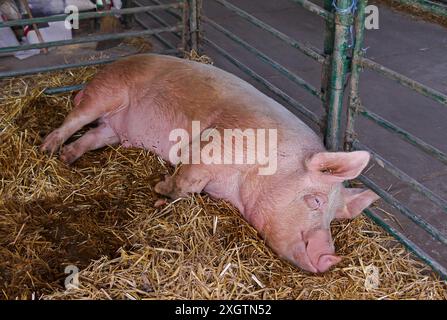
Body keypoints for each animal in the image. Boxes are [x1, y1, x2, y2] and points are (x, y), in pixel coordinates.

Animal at [40, 54, 380, 272]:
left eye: (334, 218)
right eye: (316, 200)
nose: (330, 258)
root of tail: (113, 64)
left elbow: (189, 188)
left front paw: (161, 198)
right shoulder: (212, 146)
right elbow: (186, 181)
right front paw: (159, 189)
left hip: (113, 129)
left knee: (92, 136)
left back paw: (67, 158)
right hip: (106, 93)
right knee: (74, 119)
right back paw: (47, 149)